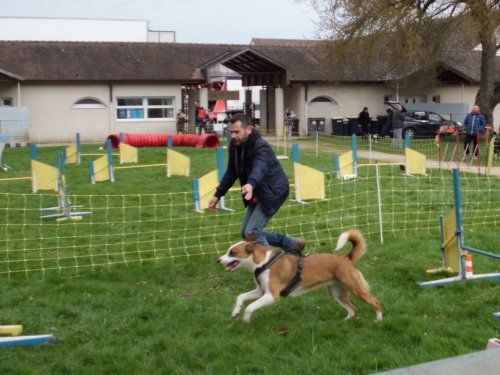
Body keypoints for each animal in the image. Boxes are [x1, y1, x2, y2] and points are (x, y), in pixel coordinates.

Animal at [218, 229, 382, 324]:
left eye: (232, 252)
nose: (218, 260)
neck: (264, 263)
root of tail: (346, 259)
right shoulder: (261, 291)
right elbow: (240, 297)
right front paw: (235, 312)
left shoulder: (272, 295)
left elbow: (250, 306)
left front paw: (246, 319)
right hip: (337, 292)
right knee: (353, 309)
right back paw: (344, 321)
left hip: (355, 288)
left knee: (376, 302)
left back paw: (378, 320)